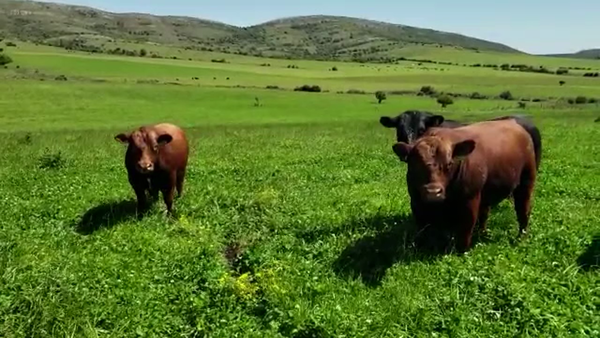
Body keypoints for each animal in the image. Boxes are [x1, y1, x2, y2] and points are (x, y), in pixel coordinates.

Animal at [394, 119, 540, 251]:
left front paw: (461, 251)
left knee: (523, 210)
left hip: (526, 182)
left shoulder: (470, 200)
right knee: (484, 214)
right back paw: (482, 233)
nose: (433, 192)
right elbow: (422, 230)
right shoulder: (416, 202)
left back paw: (521, 237)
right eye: (414, 164)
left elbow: (465, 229)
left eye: (449, 163)